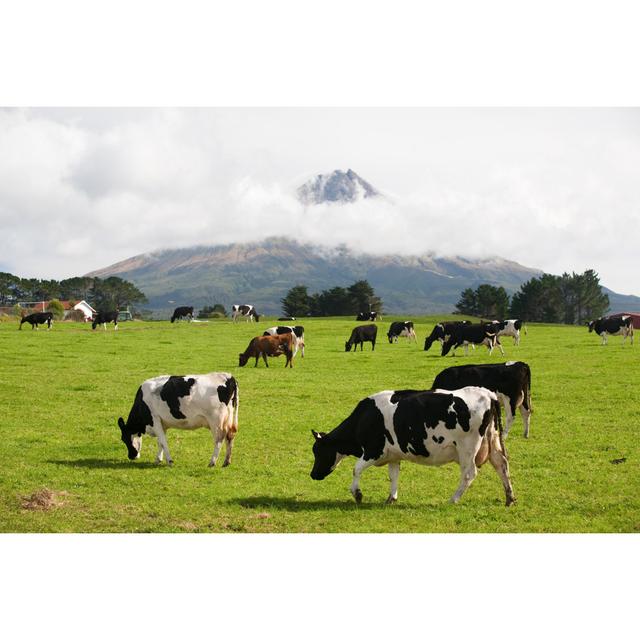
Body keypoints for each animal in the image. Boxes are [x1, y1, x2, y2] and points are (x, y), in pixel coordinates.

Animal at [310, 382, 516, 508]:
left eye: (318, 452)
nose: (312, 475)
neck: (364, 417)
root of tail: (487, 393)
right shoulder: (393, 455)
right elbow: (393, 476)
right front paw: (391, 498)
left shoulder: (373, 451)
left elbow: (356, 469)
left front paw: (357, 494)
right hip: (493, 441)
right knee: (502, 465)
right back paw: (510, 498)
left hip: (467, 448)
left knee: (469, 473)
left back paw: (453, 499)